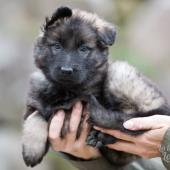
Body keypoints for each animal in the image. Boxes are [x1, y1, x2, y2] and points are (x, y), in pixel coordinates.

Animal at [21, 6, 169, 167]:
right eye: (57, 46)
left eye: (84, 49)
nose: (66, 70)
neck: (66, 89)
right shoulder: (35, 103)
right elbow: (36, 115)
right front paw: (32, 149)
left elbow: (49, 113)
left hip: (119, 73)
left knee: (131, 118)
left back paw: (103, 132)